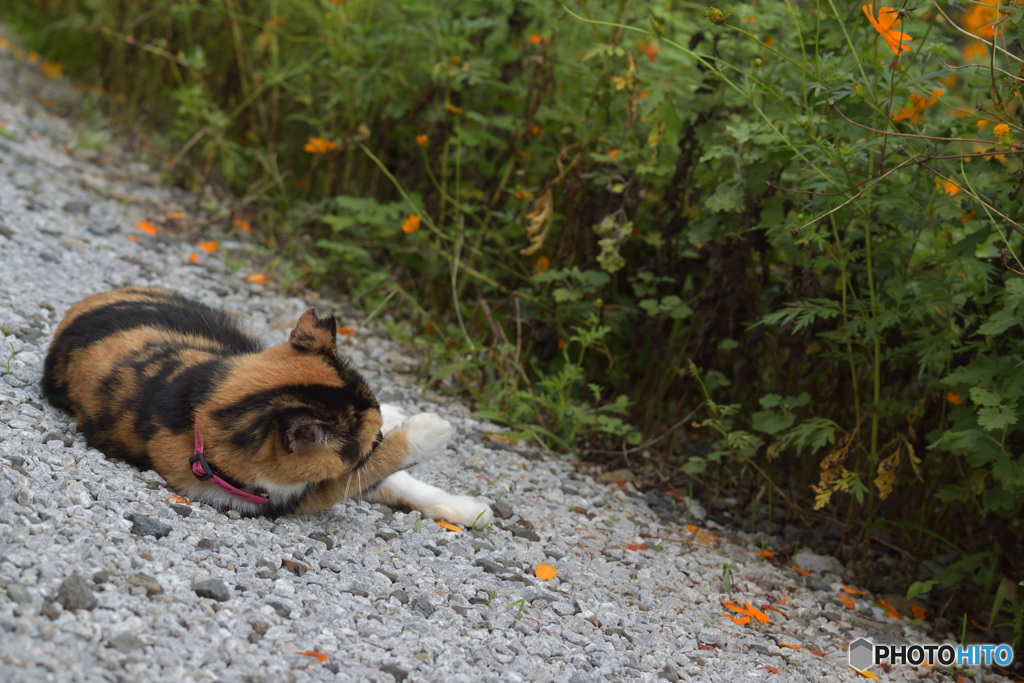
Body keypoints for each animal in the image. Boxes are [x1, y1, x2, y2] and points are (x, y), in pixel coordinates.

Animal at [43, 286, 495, 528]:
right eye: (368, 439)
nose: (382, 426)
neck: (201, 409)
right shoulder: (302, 495)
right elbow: (375, 469)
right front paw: (430, 429)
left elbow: (401, 482)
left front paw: (470, 511)